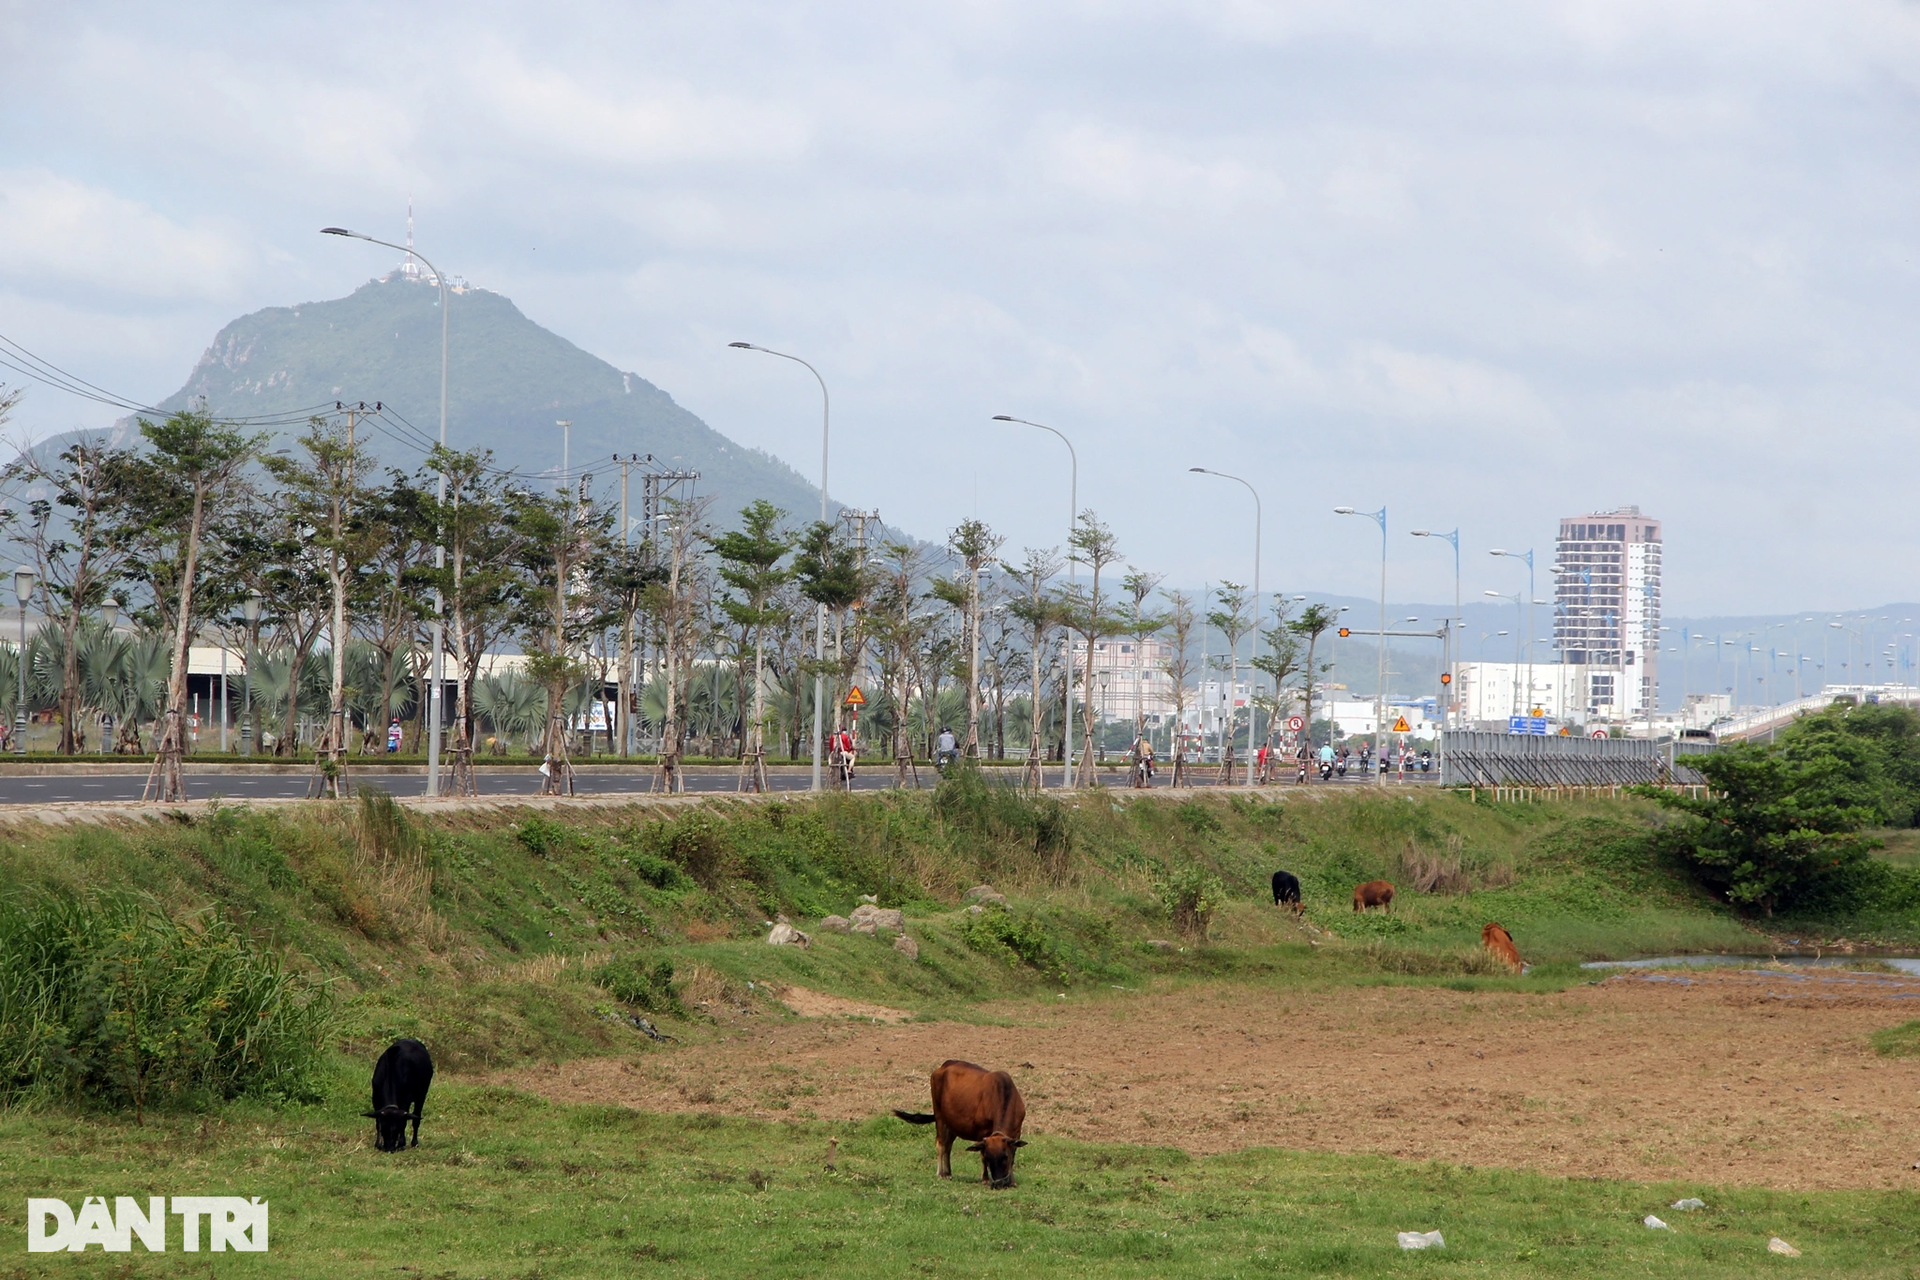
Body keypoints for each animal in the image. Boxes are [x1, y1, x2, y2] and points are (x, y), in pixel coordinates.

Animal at [890, 1059, 1029, 1189]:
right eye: (989, 1158)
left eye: (1005, 1156)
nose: (999, 1184)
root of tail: (943, 1066)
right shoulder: (981, 1132)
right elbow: (981, 1155)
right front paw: (985, 1179)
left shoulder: (1016, 1133)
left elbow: (1013, 1157)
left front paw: (1012, 1182)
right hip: (940, 1117)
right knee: (940, 1144)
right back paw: (940, 1173)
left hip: (951, 1125)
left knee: (948, 1146)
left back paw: (948, 1173)